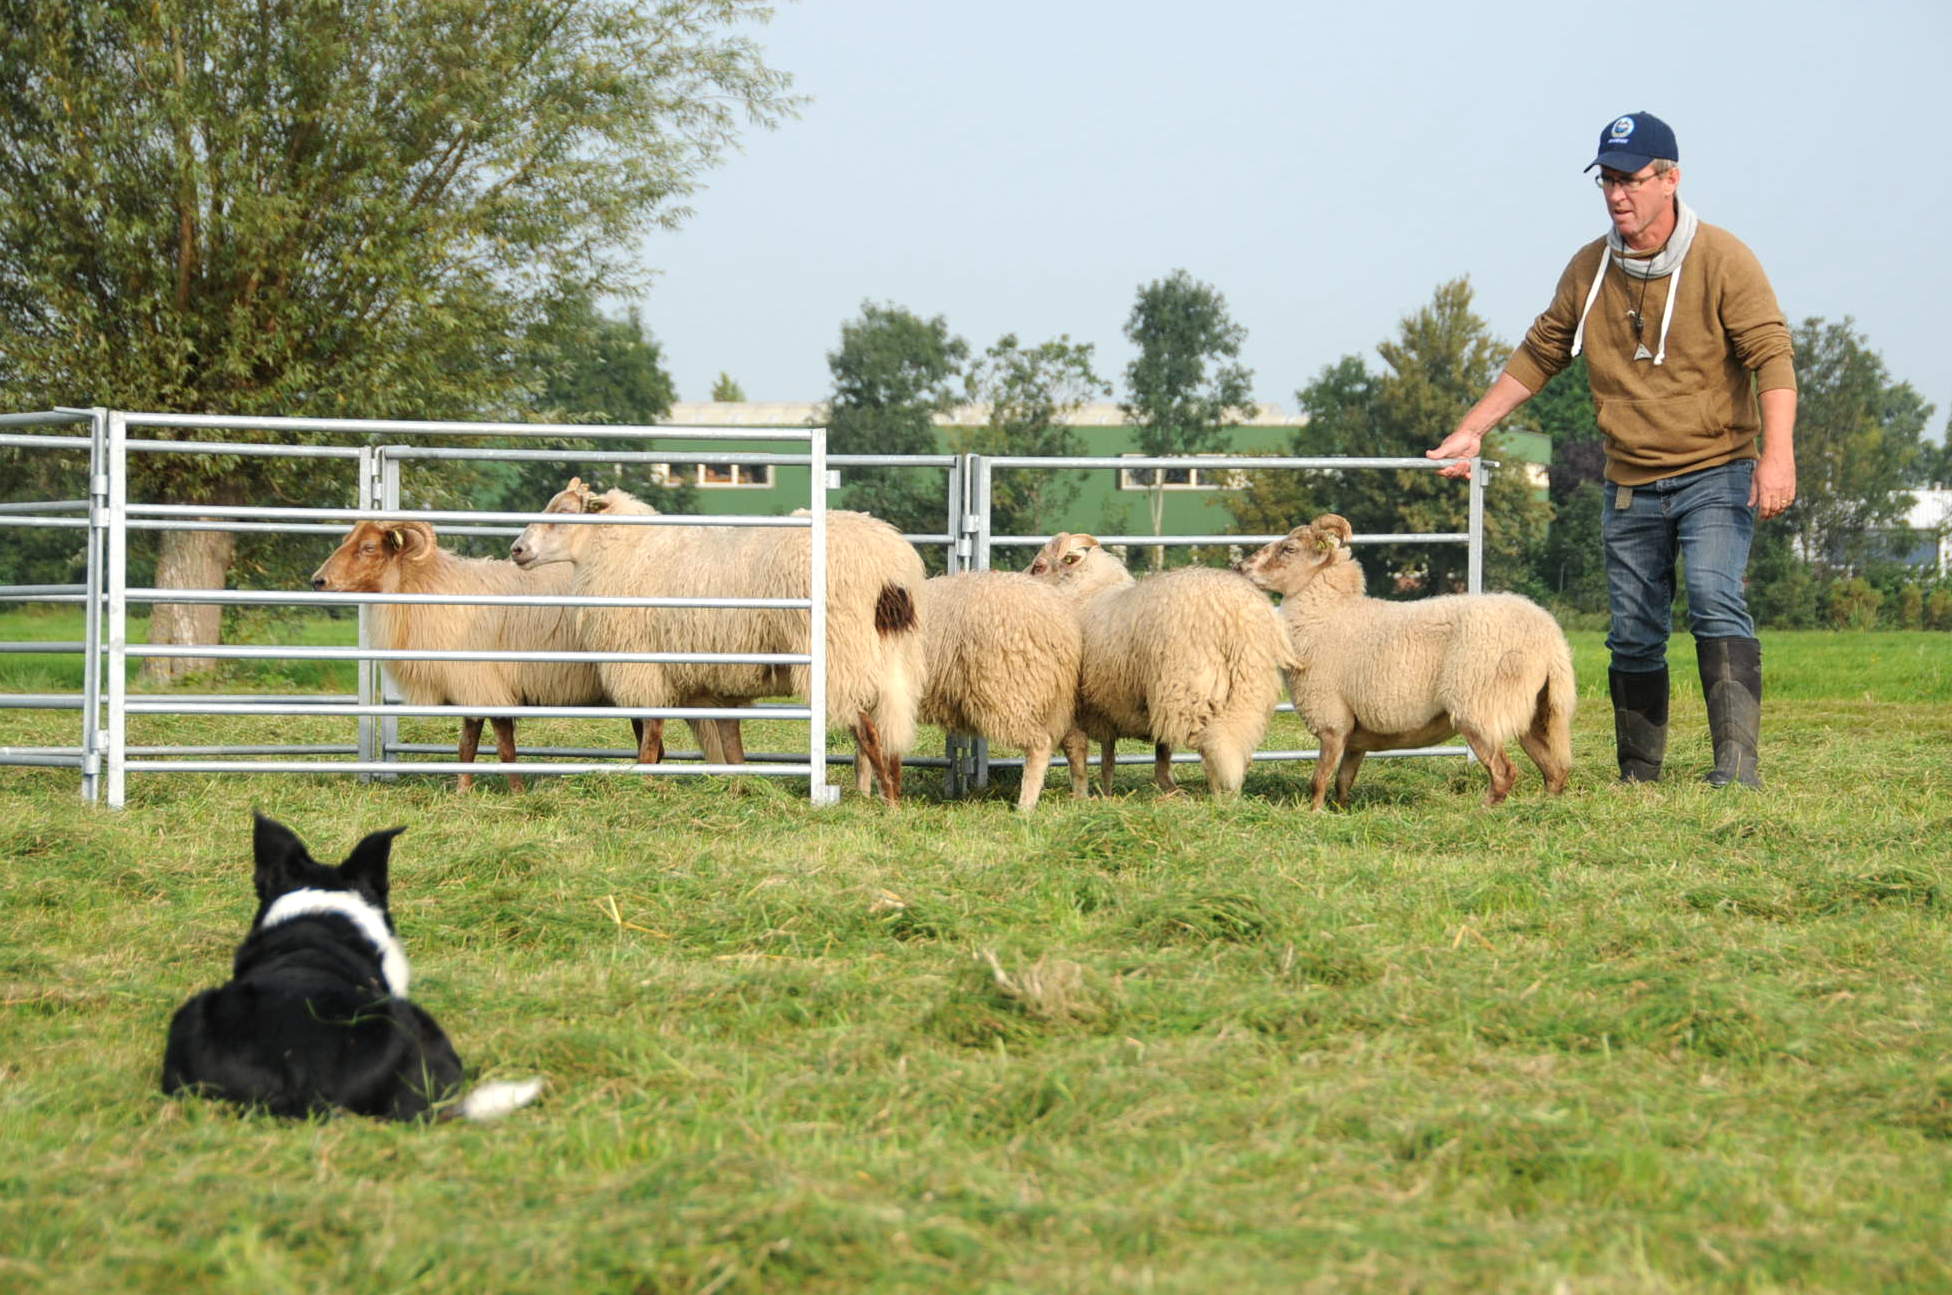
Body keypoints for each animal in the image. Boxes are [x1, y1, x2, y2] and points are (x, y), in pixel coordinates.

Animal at [507, 476, 925, 800]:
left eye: (563, 513)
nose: (517, 550)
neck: (622, 552)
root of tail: (888, 563)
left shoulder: (647, 665)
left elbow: (651, 739)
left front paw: (643, 783)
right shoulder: (714, 682)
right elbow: (729, 750)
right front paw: (738, 789)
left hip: (838, 651)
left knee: (867, 729)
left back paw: (888, 801)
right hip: (892, 652)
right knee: (889, 723)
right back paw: (885, 791)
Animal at [917, 574, 1093, 816]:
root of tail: (1064, 618)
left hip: (1009, 692)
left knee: (1040, 744)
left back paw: (1025, 807)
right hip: (1060, 698)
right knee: (1076, 742)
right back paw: (1081, 797)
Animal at [1022, 531, 1296, 796]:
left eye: (1039, 567)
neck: (1084, 594)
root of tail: (1237, 616)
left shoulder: (1075, 703)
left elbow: (1078, 755)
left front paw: (1082, 797)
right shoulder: (1110, 703)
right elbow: (1111, 758)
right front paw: (1106, 795)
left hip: (1186, 691)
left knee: (1211, 750)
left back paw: (1216, 799)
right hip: (1247, 692)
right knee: (1235, 748)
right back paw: (1231, 796)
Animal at [1241, 515, 1577, 812]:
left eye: (1289, 548)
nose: (1241, 567)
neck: (1329, 613)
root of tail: (1550, 638)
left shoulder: (1331, 720)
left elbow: (1319, 779)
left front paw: (1314, 815)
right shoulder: (1355, 735)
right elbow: (1343, 782)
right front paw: (1342, 813)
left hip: (1478, 707)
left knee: (1504, 772)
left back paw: (1482, 812)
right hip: (1537, 711)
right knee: (1554, 771)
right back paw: (1545, 809)